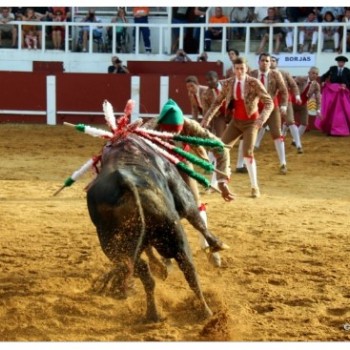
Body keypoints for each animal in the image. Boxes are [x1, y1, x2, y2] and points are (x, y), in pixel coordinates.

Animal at [86, 133, 226, 322]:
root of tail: (126, 182)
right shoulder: (179, 189)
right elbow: (194, 216)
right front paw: (217, 244)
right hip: (171, 235)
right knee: (186, 268)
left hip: (116, 243)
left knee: (148, 272)